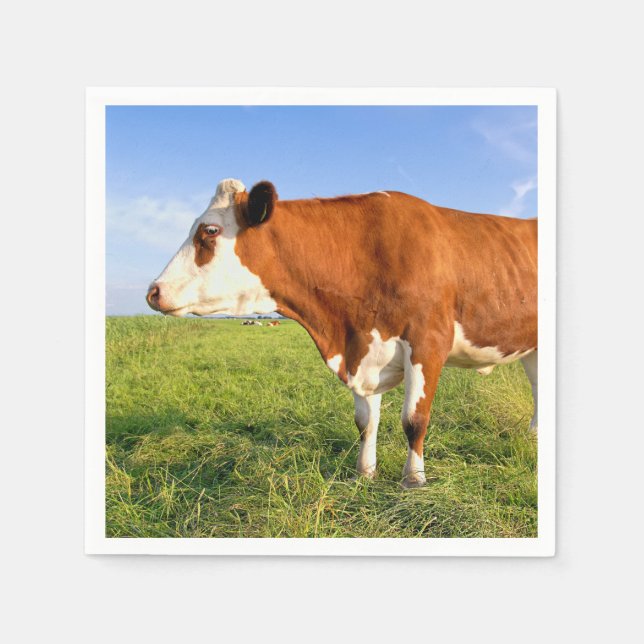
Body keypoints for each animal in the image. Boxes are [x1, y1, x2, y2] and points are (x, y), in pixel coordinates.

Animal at [147, 178, 538, 487]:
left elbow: (414, 420)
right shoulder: (362, 349)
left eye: (210, 231)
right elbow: (365, 422)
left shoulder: (427, 342)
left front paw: (413, 479)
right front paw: (364, 473)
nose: (153, 291)